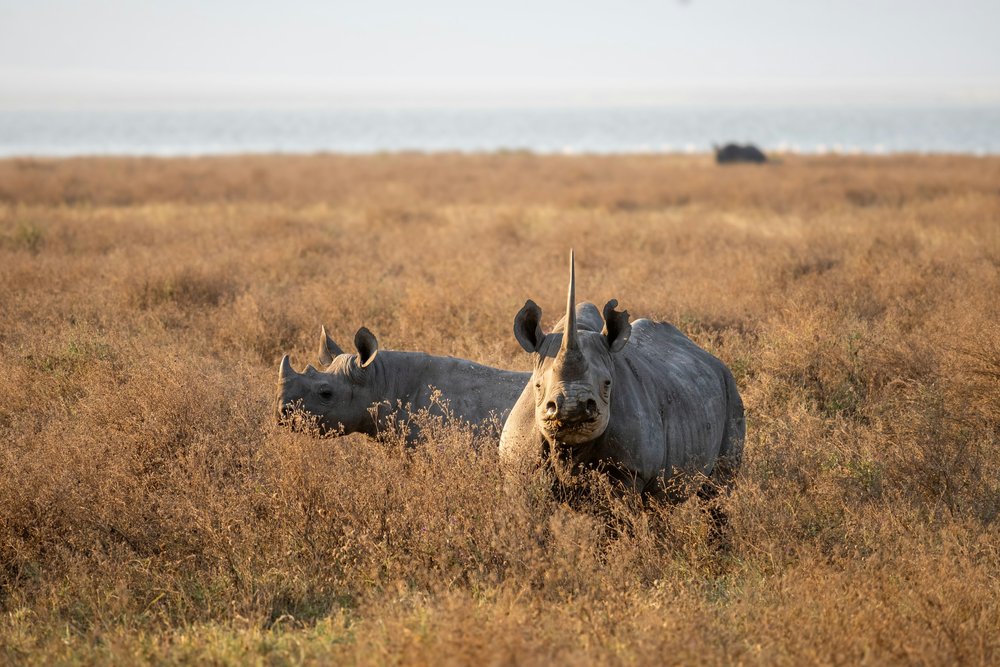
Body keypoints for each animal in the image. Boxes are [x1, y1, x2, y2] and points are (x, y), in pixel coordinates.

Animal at [498, 253, 744, 498]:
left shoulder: (629, 471)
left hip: (729, 390)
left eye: (608, 384)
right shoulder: (519, 466)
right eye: (537, 386)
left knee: (717, 490)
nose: (572, 408)